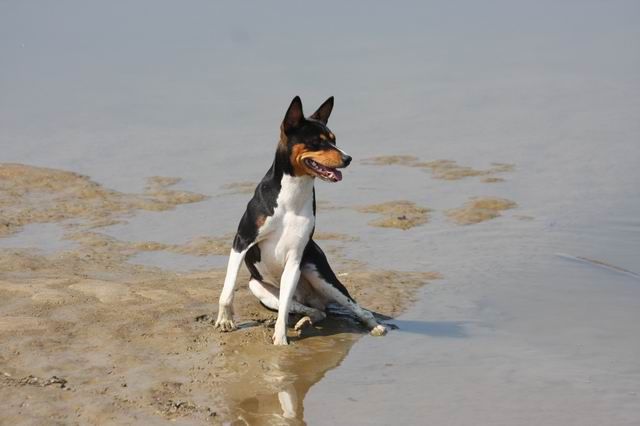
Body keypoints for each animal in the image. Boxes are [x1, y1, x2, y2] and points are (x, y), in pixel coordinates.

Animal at [214, 96, 388, 345]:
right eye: (316, 142)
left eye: (334, 140)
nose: (348, 158)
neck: (292, 197)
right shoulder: (242, 240)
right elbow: (227, 288)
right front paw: (225, 321)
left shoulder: (295, 259)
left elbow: (285, 308)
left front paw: (280, 339)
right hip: (258, 287)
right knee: (312, 310)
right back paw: (304, 321)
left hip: (319, 276)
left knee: (354, 309)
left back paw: (374, 326)